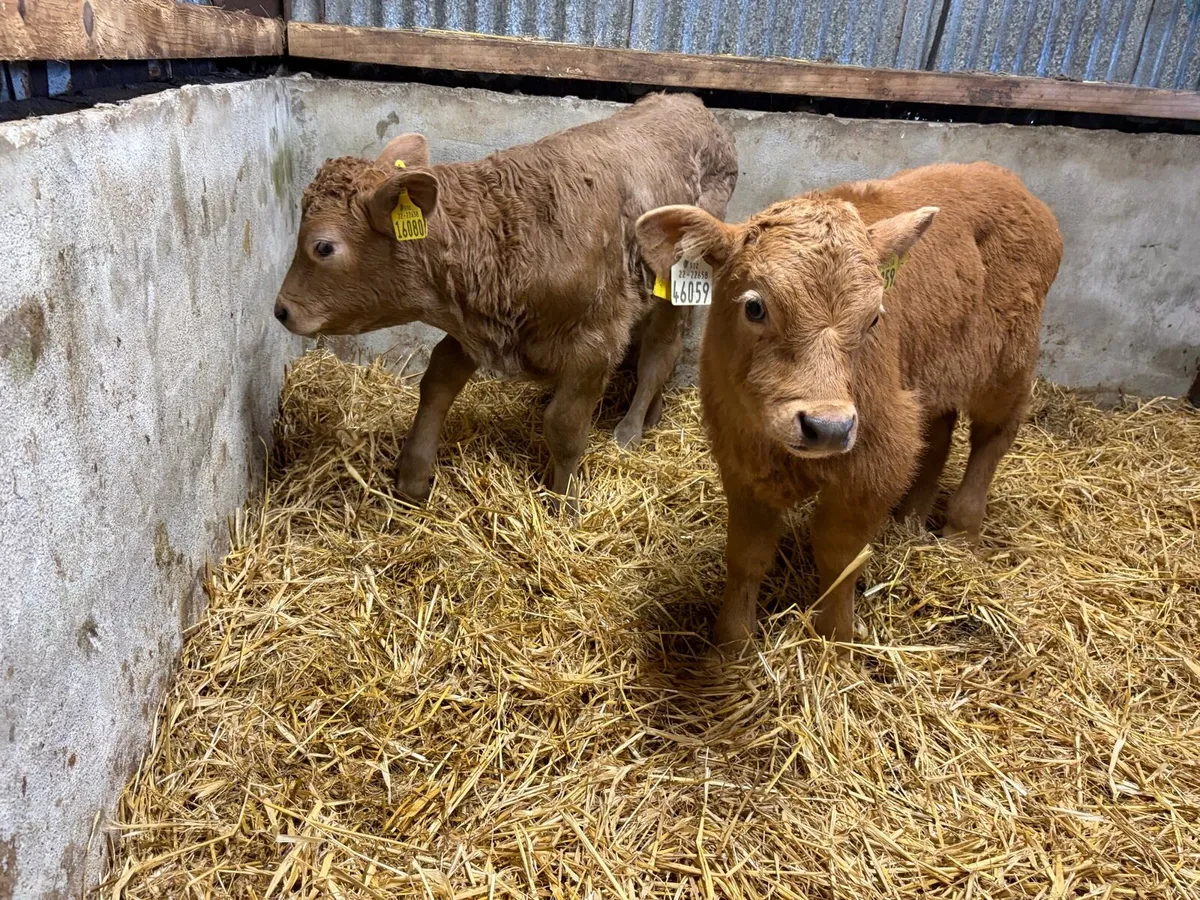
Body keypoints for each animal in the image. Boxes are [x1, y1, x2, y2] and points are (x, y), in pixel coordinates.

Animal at [273, 93, 738, 510]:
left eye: (323, 247)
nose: (281, 310)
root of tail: (690, 102)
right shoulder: (475, 320)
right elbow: (437, 380)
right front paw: (412, 476)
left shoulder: (595, 342)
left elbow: (564, 426)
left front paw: (566, 502)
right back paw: (652, 415)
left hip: (680, 281)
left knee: (661, 350)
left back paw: (629, 432)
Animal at [636, 162, 1062, 648]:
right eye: (755, 307)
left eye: (874, 317)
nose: (828, 427)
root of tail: (1006, 179)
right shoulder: (740, 455)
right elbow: (747, 554)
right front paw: (732, 646)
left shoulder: (876, 457)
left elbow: (840, 554)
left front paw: (836, 640)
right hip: (929, 376)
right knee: (938, 432)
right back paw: (910, 519)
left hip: (1008, 367)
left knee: (993, 436)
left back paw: (960, 532)